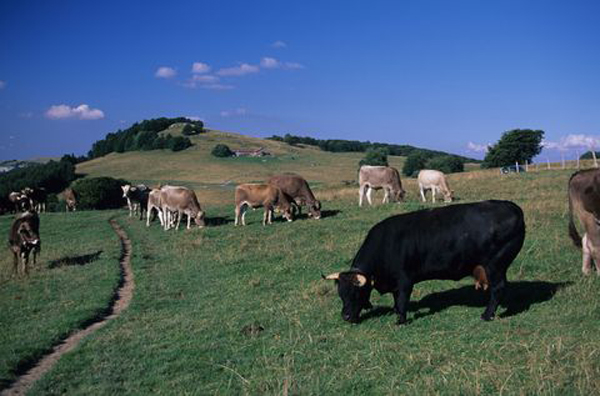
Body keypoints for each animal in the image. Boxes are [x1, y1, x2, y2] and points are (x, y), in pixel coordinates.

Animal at [324, 201, 524, 324]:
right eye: (341, 294)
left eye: (356, 293)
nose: (345, 316)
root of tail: (511, 206)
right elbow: (396, 300)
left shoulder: (405, 280)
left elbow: (402, 299)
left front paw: (401, 320)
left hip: (495, 265)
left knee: (498, 288)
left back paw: (487, 315)